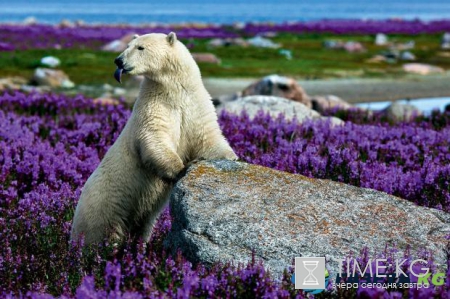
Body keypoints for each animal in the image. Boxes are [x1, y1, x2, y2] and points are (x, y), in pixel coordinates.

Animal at [70, 32, 237, 246]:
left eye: (140, 47)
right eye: (128, 45)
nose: (118, 60)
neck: (174, 90)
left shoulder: (195, 106)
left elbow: (207, 137)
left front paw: (231, 157)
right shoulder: (154, 105)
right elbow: (155, 137)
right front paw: (181, 169)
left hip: (140, 217)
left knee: (141, 228)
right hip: (103, 207)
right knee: (100, 235)